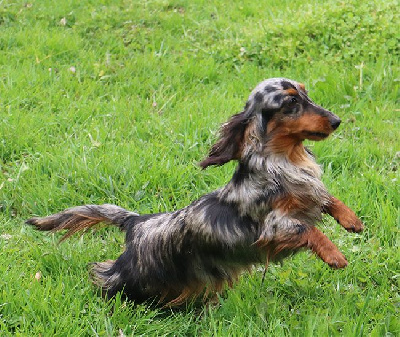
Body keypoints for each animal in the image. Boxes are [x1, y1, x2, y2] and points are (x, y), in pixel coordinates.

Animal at [28, 77, 364, 306]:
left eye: (306, 93)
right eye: (291, 102)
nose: (336, 121)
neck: (284, 162)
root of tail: (137, 221)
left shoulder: (308, 193)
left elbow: (326, 198)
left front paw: (351, 220)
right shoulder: (274, 227)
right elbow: (309, 230)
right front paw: (334, 255)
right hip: (134, 276)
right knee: (106, 277)